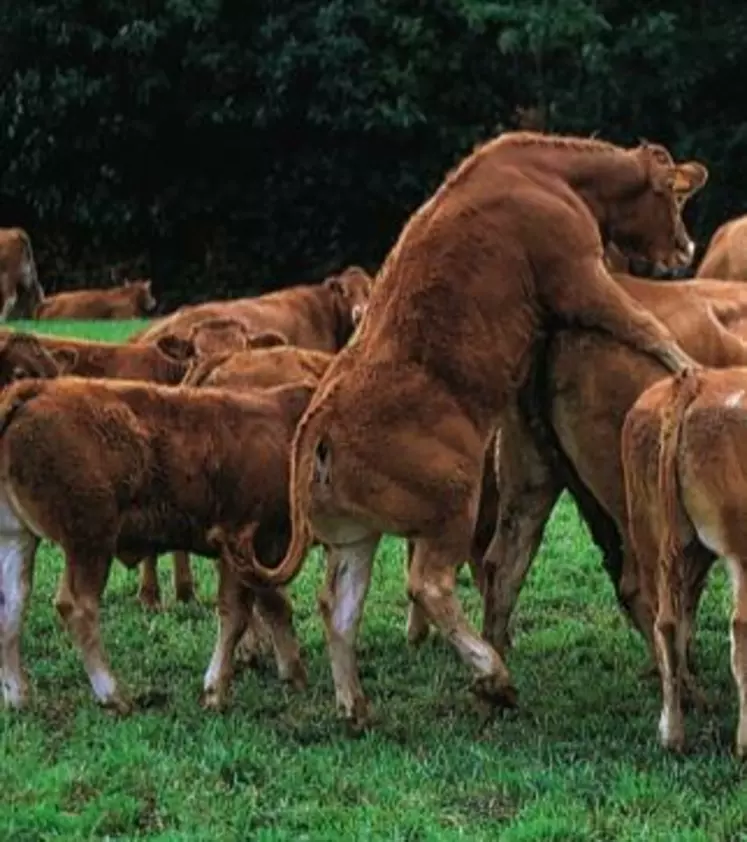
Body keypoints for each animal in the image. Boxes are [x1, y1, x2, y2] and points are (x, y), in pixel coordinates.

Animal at [0, 374, 316, 708]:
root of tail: (35, 390)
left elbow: (262, 609)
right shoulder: (258, 545)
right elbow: (250, 612)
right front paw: (220, 689)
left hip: (18, 538)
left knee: (12, 605)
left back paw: (19, 696)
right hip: (90, 542)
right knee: (77, 608)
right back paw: (114, 695)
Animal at [209, 135, 708, 724]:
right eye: (673, 196)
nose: (687, 249)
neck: (551, 175)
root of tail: (318, 423)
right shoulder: (580, 276)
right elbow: (644, 325)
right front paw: (687, 365)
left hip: (356, 536)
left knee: (339, 607)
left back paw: (356, 705)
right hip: (452, 504)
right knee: (429, 584)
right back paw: (493, 675)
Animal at [624, 368, 747, 756]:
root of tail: (695, 379)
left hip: (657, 540)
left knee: (666, 624)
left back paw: (672, 733)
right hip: (738, 551)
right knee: (741, 628)